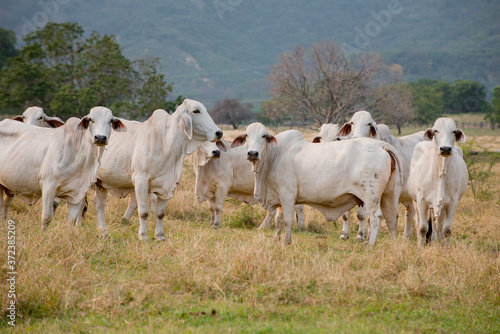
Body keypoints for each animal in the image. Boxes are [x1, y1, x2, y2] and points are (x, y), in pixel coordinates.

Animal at [95, 98, 223, 240]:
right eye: (196, 111)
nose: (219, 133)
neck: (166, 143)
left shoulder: (168, 185)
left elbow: (160, 213)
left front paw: (159, 236)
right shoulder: (141, 181)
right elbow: (143, 212)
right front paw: (143, 236)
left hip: (101, 183)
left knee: (99, 205)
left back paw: (103, 232)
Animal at [231, 122, 402, 245]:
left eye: (263, 136)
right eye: (246, 135)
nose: (252, 153)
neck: (275, 155)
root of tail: (380, 145)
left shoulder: (287, 195)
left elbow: (287, 219)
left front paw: (286, 241)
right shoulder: (279, 196)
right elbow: (278, 220)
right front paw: (275, 239)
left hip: (371, 197)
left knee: (375, 217)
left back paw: (370, 243)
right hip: (389, 194)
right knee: (391, 216)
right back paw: (392, 242)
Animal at [338, 111, 424, 240]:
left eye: (369, 124)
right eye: (352, 122)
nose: (356, 138)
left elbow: (364, 215)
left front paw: (362, 236)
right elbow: (345, 214)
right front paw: (344, 234)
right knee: (410, 212)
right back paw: (406, 236)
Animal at [406, 117, 468, 245]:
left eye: (454, 131)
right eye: (436, 131)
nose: (445, 148)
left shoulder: (452, 202)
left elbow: (447, 229)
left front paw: (446, 247)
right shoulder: (421, 200)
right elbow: (422, 227)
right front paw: (421, 246)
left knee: (438, 225)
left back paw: (439, 242)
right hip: (415, 201)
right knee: (418, 222)